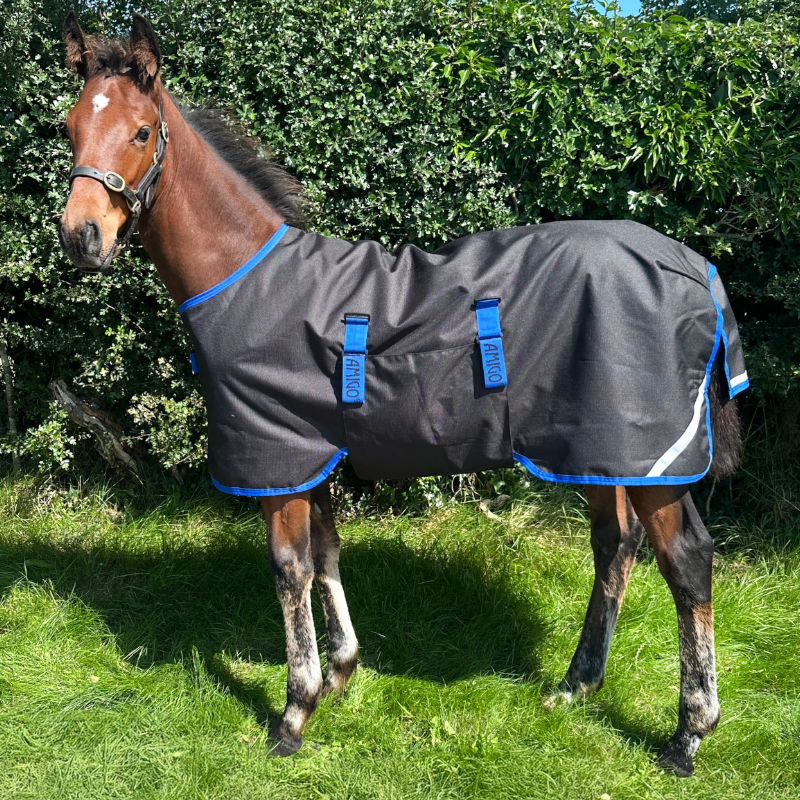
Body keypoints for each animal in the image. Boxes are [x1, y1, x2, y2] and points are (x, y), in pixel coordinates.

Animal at [58, 13, 748, 777]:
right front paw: (340, 672)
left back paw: (688, 733)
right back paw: (576, 686)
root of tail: (693, 266)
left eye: (141, 131)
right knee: (615, 545)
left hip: (655, 459)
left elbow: (290, 569)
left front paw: (294, 712)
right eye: (69, 127)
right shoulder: (314, 456)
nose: (80, 236)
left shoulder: (279, 457)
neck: (248, 279)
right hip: (596, 449)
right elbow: (327, 552)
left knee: (686, 563)